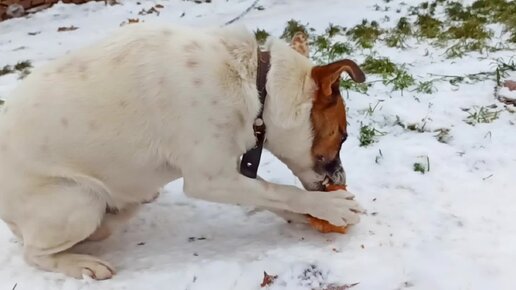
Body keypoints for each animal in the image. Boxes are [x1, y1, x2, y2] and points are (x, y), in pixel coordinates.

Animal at [0, 23, 364, 280]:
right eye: (343, 136)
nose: (341, 179)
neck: (254, 82)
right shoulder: (209, 178)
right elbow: (281, 191)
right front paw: (329, 206)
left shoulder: (227, 171)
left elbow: (266, 192)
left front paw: (306, 216)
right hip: (79, 201)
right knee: (34, 254)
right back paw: (82, 264)